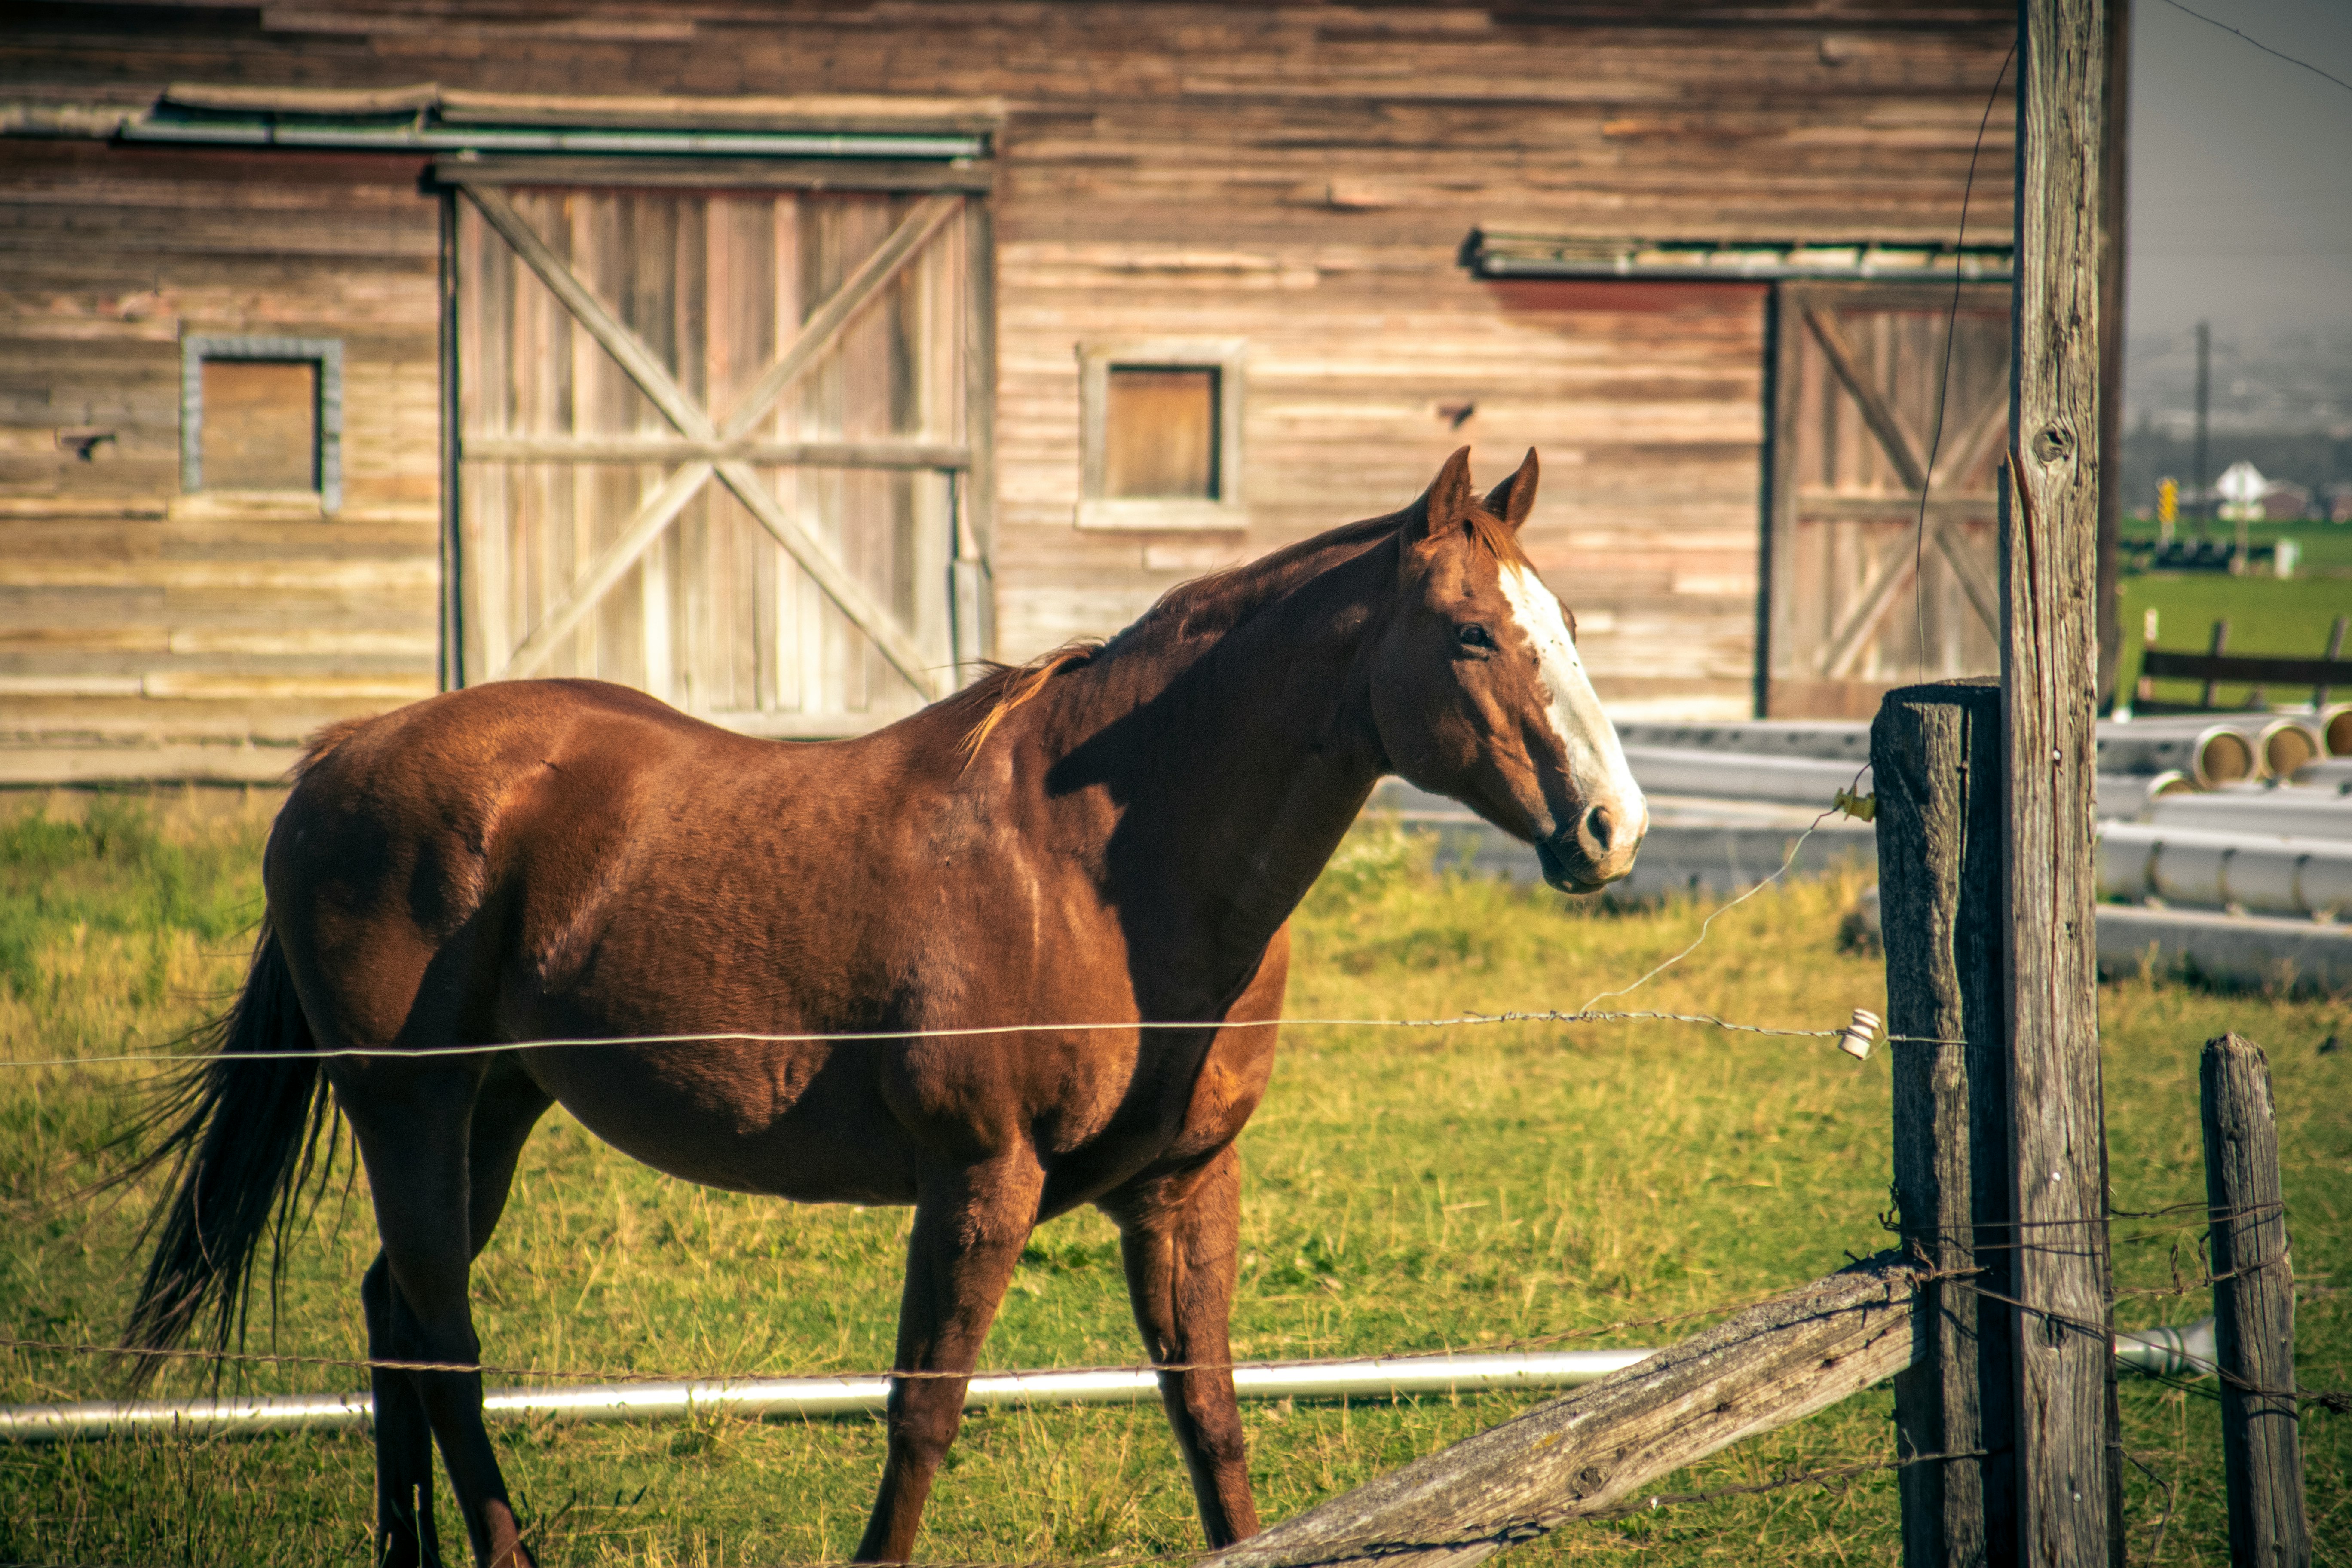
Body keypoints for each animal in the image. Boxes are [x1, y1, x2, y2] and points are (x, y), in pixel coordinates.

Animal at [119, 444, 1646, 1568]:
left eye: (1568, 625)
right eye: (1471, 634)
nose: (1611, 828)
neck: (1096, 864)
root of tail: (341, 755)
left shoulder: (1183, 1190)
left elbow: (1209, 1420)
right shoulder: (980, 1179)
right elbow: (924, 1416)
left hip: (494, 1108)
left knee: (398, 1313)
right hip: (413, 1109)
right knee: (440, 1331)